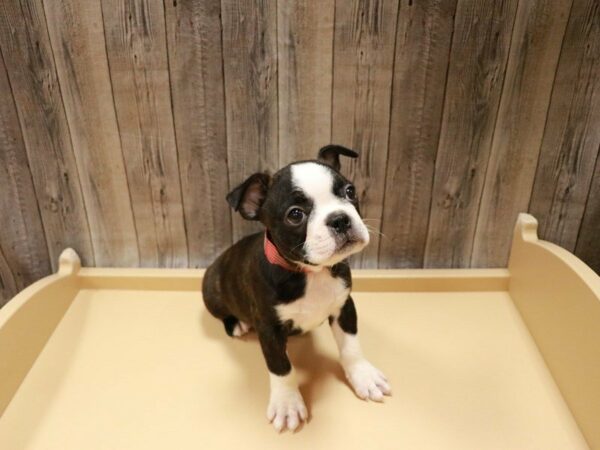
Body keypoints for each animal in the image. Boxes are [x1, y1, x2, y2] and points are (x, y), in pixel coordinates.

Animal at [202, 146, 392, 430]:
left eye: (349, 191)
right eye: (295, 214)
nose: (340, 219)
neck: (312, 273)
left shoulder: (344, 306)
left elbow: (351, 345)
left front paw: (363, 375)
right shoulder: (268, 329)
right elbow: (281, 367)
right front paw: (287, 403)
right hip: (211, 290)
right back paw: (237, 323)